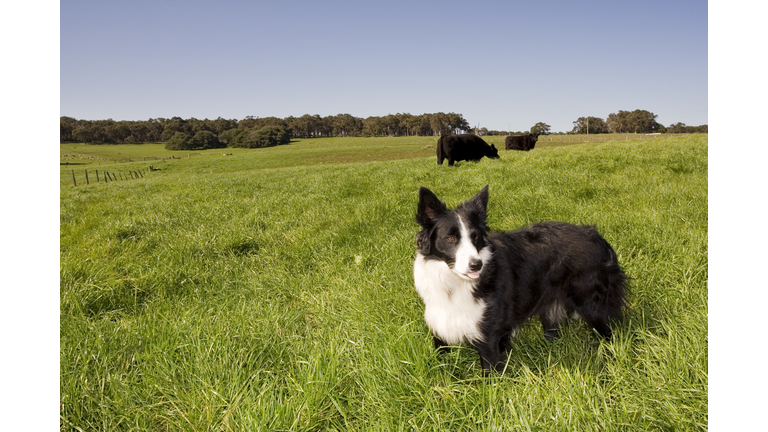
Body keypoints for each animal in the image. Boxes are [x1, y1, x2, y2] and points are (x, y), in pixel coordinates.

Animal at [414, 185, 624, 372]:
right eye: (450, 239)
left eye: (475, 238)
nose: (476, 265)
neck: (454, 283)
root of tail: (594, 234)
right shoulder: (439, 329)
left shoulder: (490, 337)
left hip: (591, 304)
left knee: (608, 333)